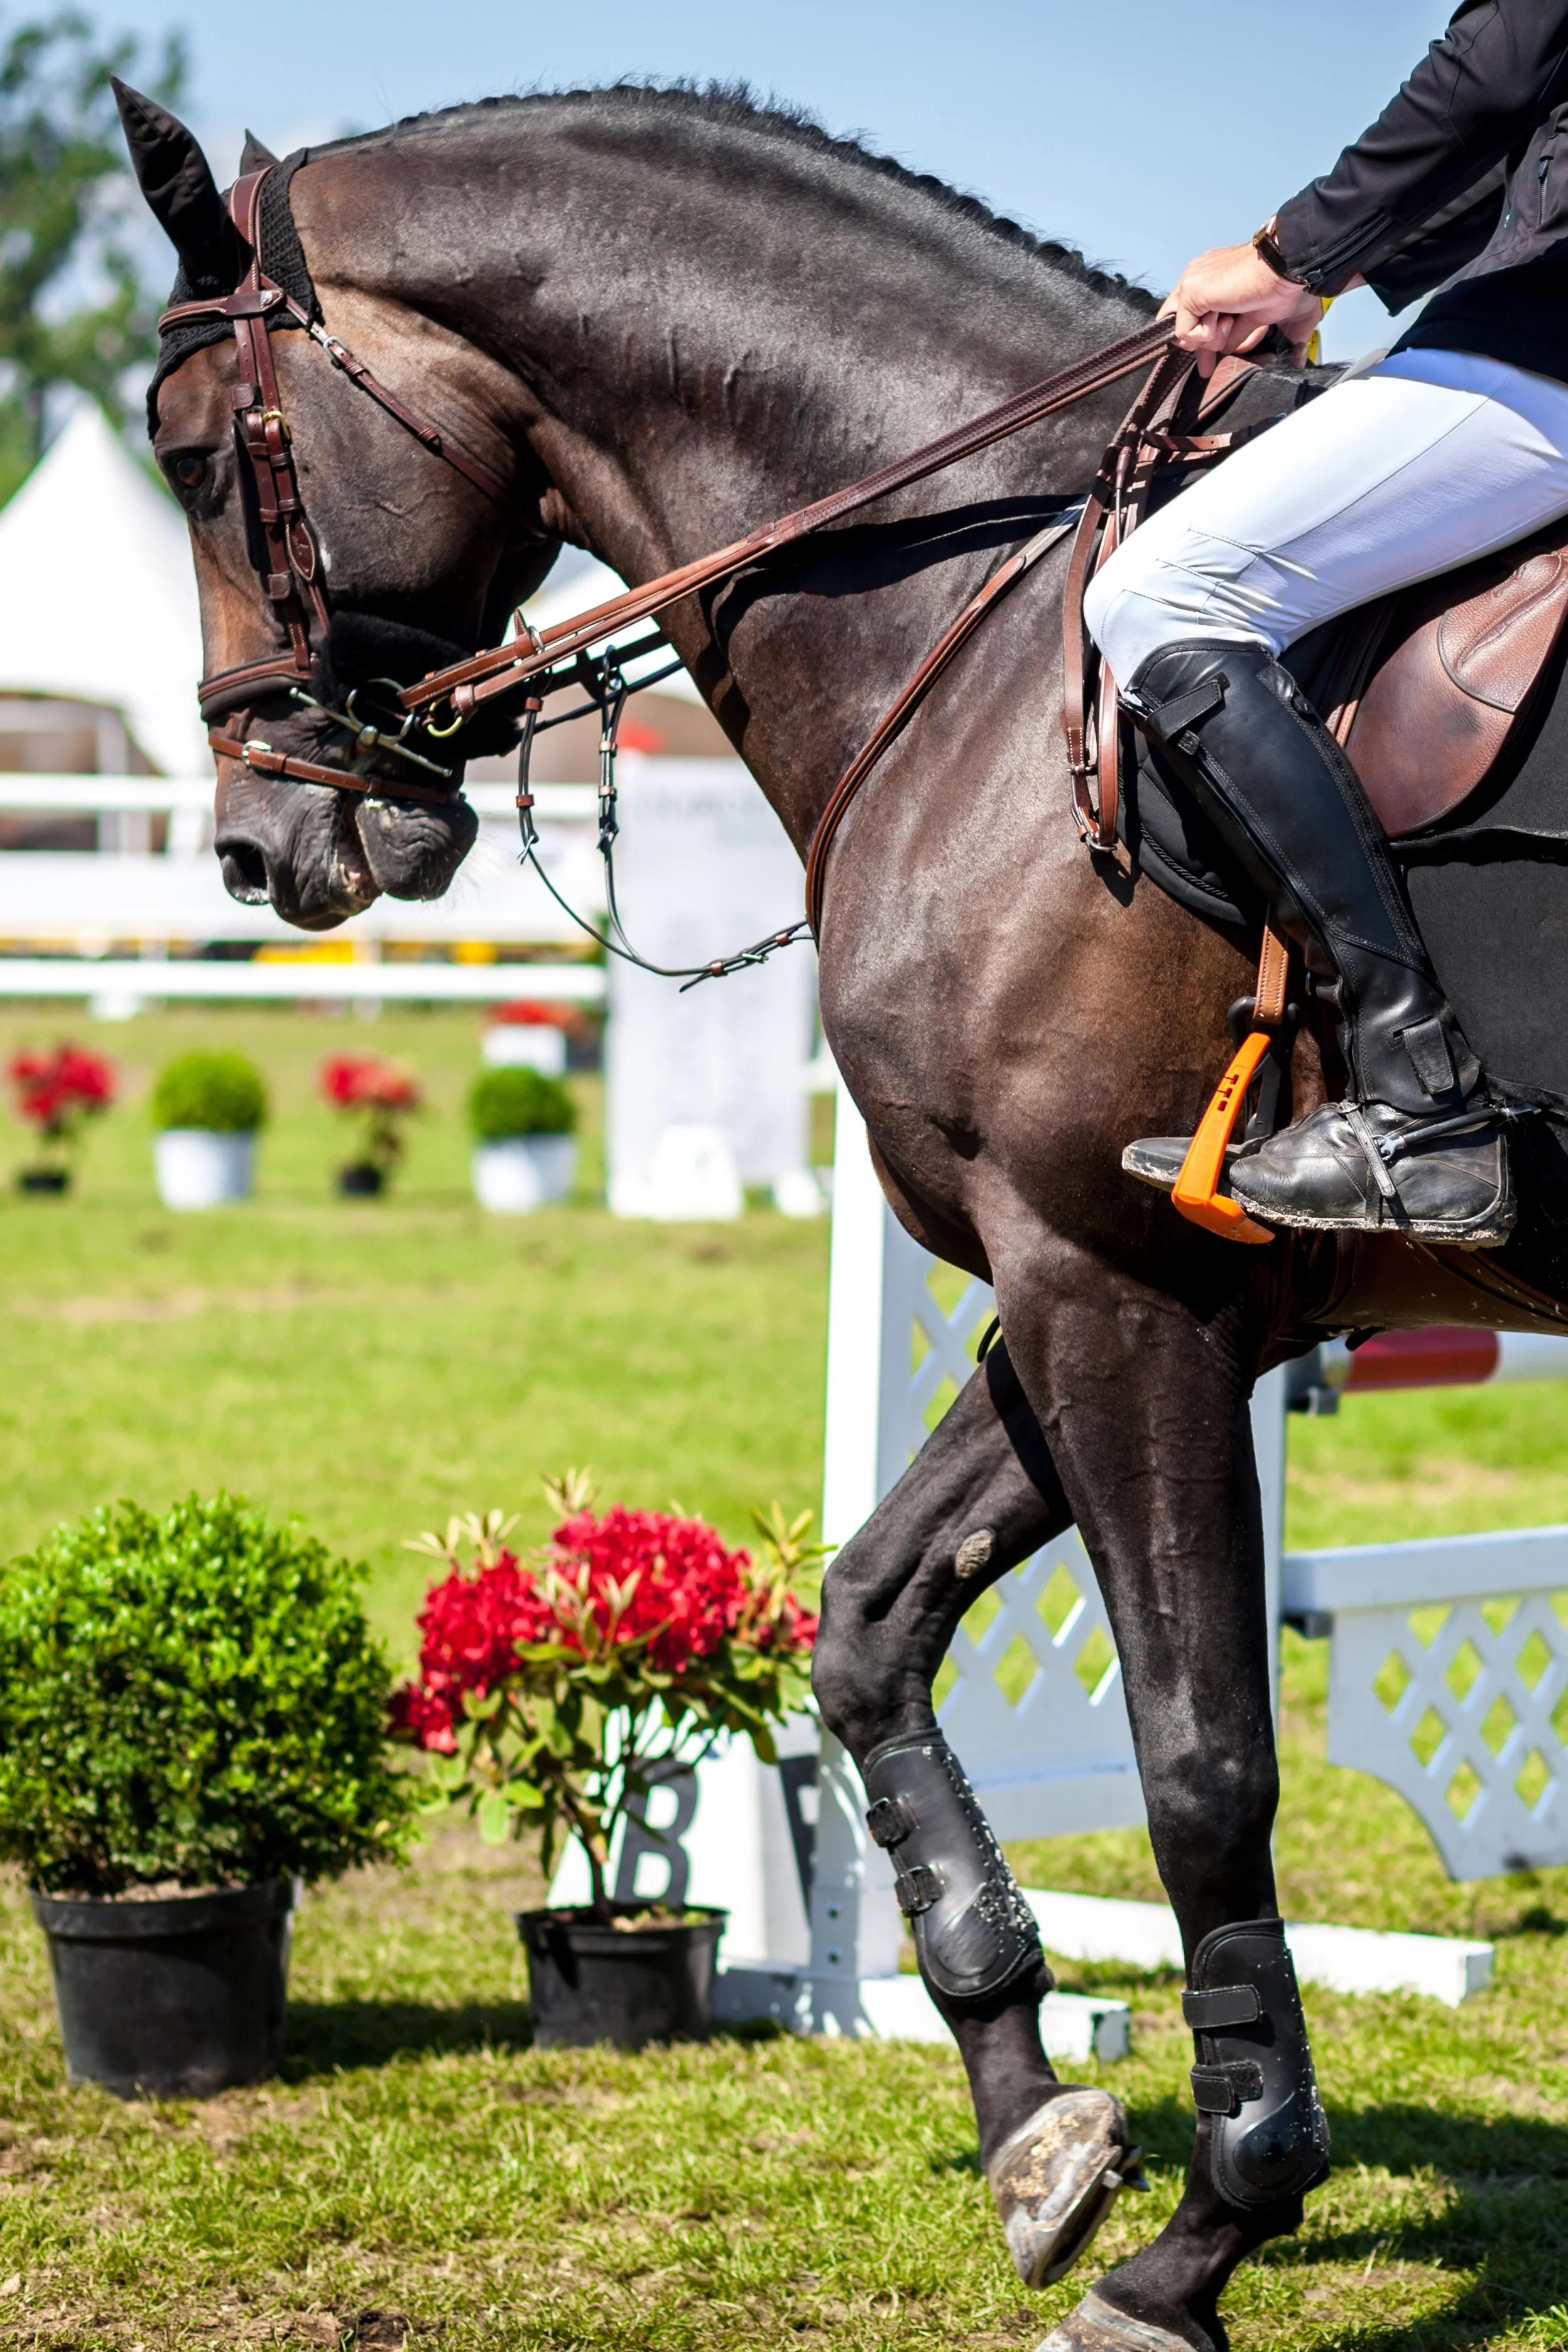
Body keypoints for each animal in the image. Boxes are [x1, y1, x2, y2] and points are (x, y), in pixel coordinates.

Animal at [119, 79, 1568, 2352]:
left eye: (190, 448)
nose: (268, 849)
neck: (975, 605)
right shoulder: (1092, 1299)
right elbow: (867, 1631)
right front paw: (1035, 2118)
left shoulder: (1117, 1292)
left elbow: (1197, 1764)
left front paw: (1201, 2232)